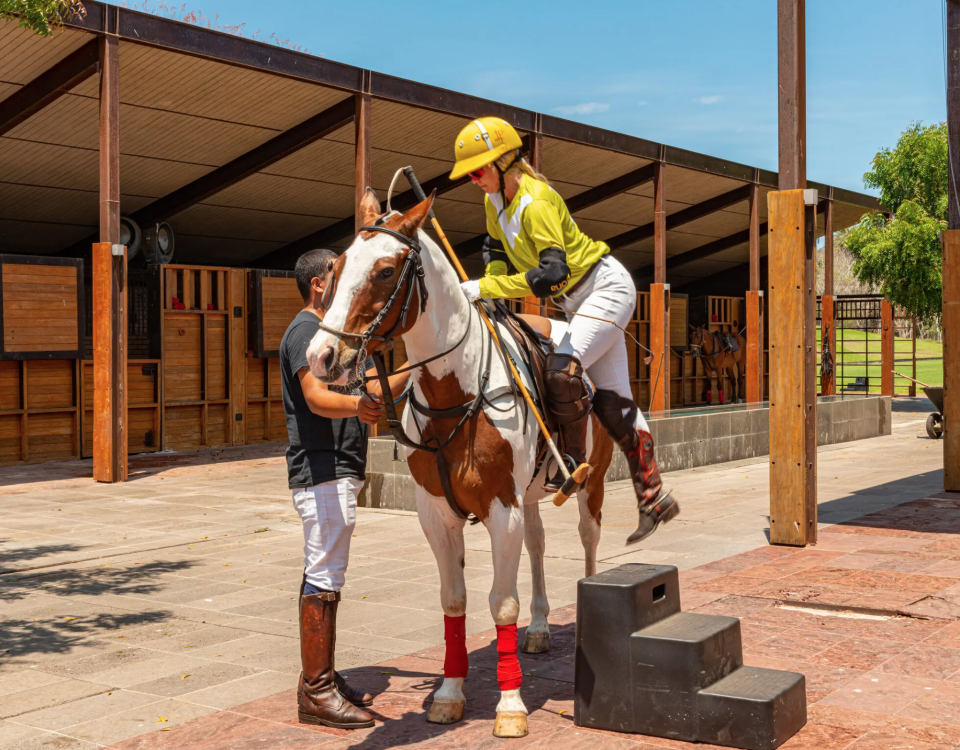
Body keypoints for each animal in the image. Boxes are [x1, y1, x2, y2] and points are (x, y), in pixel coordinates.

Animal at [310, 189, 616, 740]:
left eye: (385, 271)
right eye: (338, 267)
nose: (321, 356)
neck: (456, 393)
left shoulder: (501, 508)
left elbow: (502, 602)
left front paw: (510, 704)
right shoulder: (438, 513)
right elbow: (454, 601)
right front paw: (449, 694)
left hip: (591, 481)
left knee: (588, 538)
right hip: (530, 494)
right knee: (538, 544)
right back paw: (541, 627)